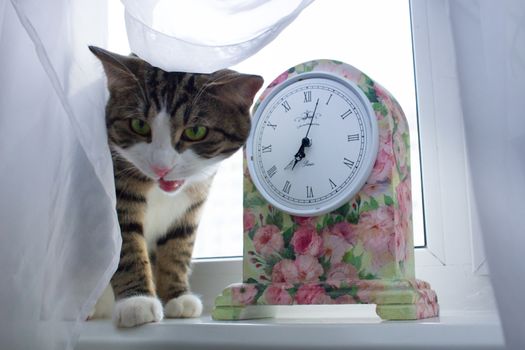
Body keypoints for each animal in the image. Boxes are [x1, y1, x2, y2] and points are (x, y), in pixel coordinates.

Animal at [88, 46, 264, 328]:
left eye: (196, 131)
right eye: (139, 125)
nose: (161, 167)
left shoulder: (193, 201)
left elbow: (178, 245)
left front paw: (177, 297)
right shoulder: (117, 189)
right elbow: (126, 243)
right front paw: (137, 301)